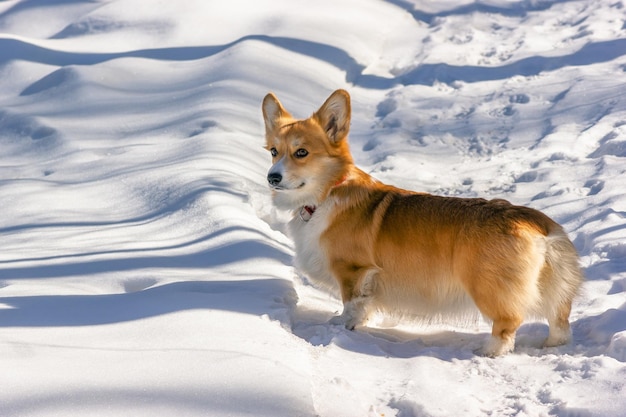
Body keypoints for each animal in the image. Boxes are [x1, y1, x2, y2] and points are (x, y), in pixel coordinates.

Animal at [260, 88, 584, 354]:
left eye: (301, 152)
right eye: (274, 152)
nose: (272, 177)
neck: (328, 191)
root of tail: (537, 223)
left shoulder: (353, 271)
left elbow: (351, 305)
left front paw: (341, 327)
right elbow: (364, 306)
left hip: (489, 287)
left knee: (508, 323)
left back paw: (488, 351)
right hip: (553, 290)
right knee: (560, 321)